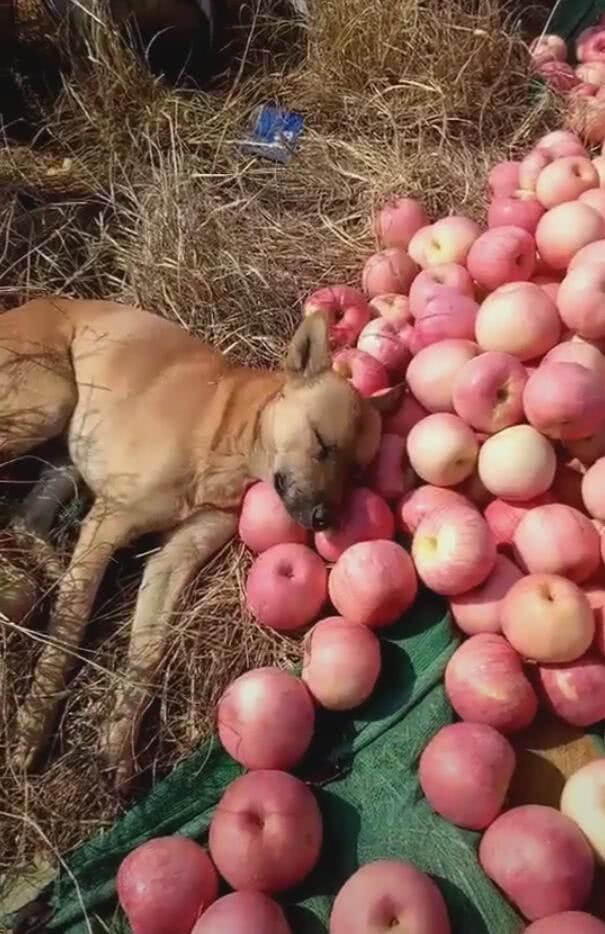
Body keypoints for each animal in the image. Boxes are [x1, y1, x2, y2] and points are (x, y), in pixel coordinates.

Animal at [0, 296, 386, 788]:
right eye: (320, 443)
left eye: (356, 474)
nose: (325, 520)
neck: (229, 442)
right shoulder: (109, 521)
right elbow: (67, 634)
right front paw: (34, 724)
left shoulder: (171, 563)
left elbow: (148, 653)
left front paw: (118, 742)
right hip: (49, 404)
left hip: (63, 454)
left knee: (26, 521)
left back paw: (50, 573)